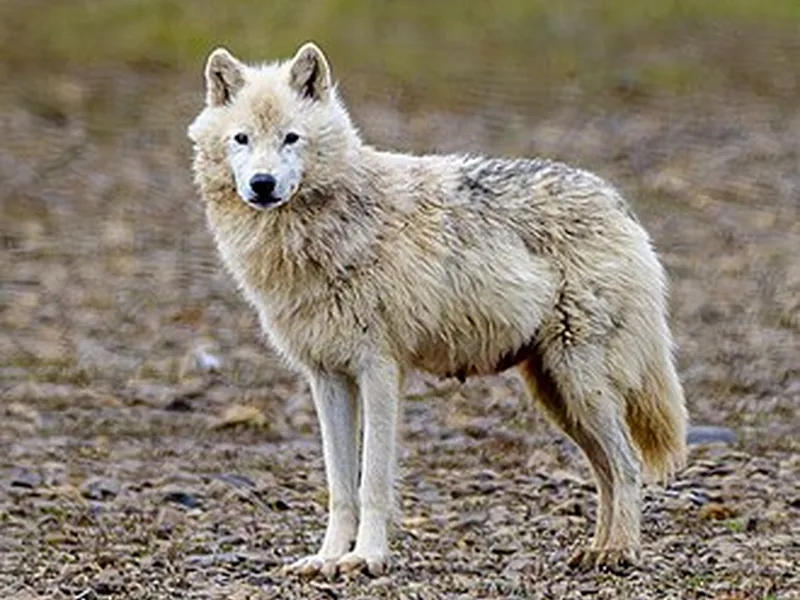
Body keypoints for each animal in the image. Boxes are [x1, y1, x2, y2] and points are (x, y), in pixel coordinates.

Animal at [188, 42, 688, 577]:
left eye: (290, 138)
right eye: (241, 138)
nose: (262, 184)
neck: (316, 237)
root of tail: (616, 202)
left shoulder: (379, 370)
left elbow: (372, 481)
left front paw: (366, 558)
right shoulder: (327, 378)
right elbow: (340, 485)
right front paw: (327, 558)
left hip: (580, 383)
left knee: (627, 464)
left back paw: (620, 552)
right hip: (558, 394)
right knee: (606, 471)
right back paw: (595, 551)